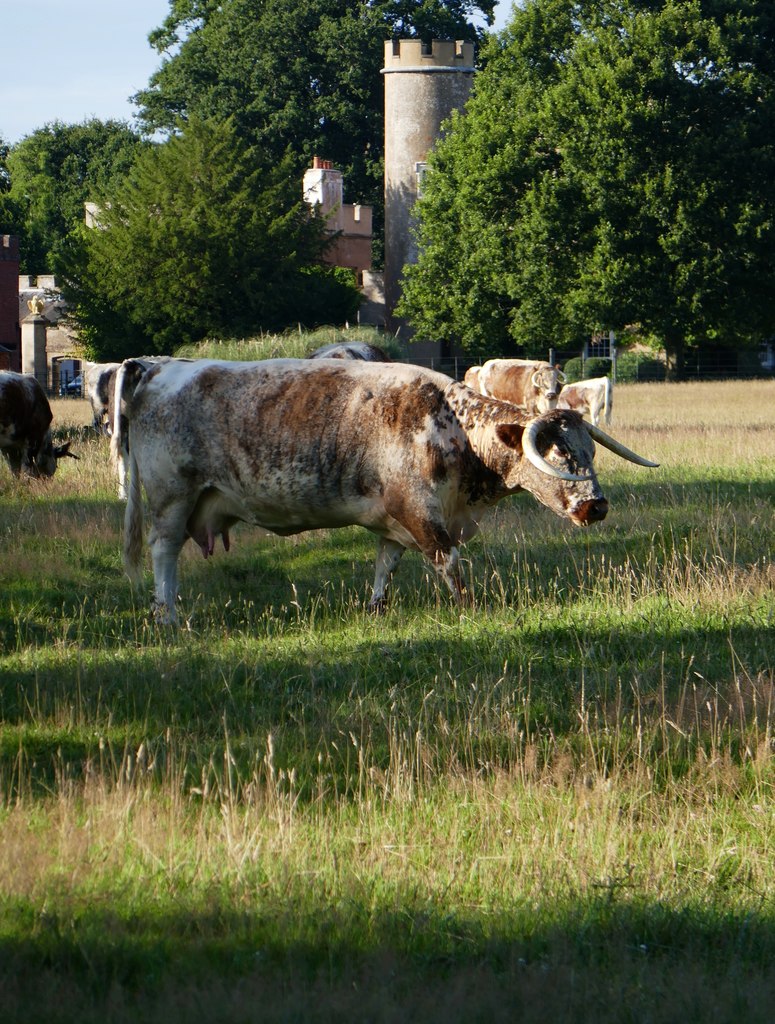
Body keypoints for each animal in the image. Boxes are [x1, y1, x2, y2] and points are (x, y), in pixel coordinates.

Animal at [111, 358, 658, 623]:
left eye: (590, 453)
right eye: (558, 455)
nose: (596, 506)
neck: (450, 423)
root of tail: (156, 368)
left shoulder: (395, 520)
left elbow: (384, 567)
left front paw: (375, 609)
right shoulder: (422, 514)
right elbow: (450, 564)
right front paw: (470, 608)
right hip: (171, 500)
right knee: (163, 553)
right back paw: (167, 614)